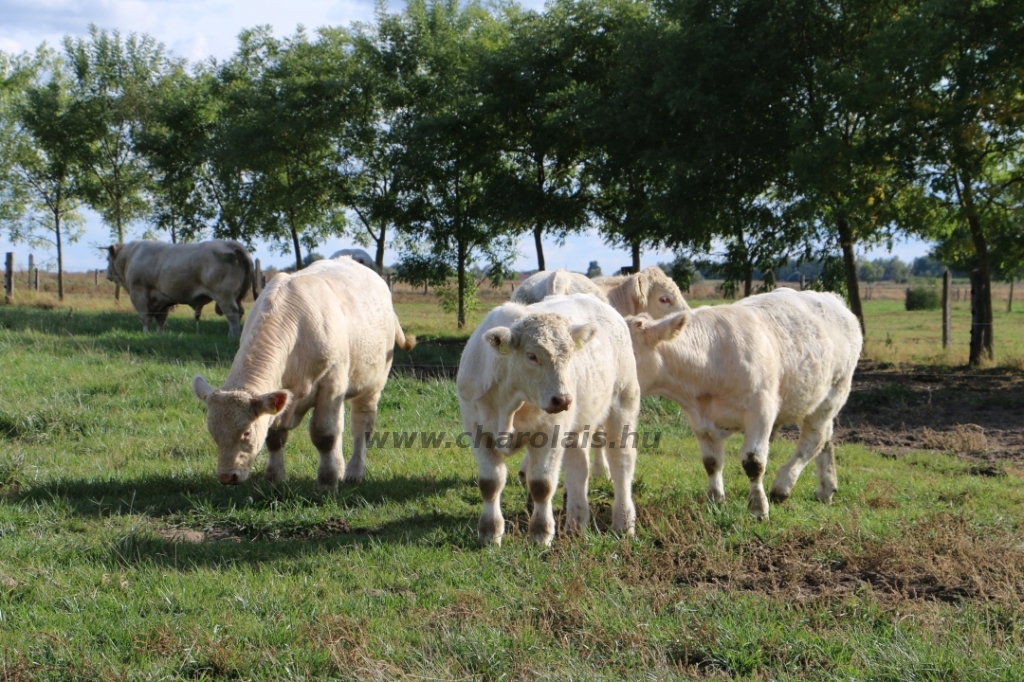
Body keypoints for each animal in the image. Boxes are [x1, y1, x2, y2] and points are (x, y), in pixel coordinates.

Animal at [107, 237, 254, 335]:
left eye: (108, 258)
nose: (107, 274)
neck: (130, 257)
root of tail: (228, 243)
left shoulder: (138, 292)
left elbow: (145, 316)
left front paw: (146, 333)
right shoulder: (162, 298)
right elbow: (161, 318)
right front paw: (159, 335)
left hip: (224, 295)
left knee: (232, 313)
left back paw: (233, 336)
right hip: (238, 296)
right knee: (240, 312)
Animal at [192, 254, 415, 483]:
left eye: (246, 432)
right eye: (213, 431)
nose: (227, 476)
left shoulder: (331, 383)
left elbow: (324, 434)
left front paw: (328, 479)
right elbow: (275, 436)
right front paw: (275, 477)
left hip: (372, 384)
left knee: (361, 426)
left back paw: (354, 471)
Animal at [458, 292, 638, 548]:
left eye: (570, 355)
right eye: (531, 356)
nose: (563, 399)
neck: (509, 403)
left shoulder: (550, 432)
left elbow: (541, 485)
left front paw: (540, 535)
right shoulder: (477, 430)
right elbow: (490, 483)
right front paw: (489, 533)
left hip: (624, 402)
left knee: (621, 464)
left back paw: (623, 523)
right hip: (579, 423)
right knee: (578, 468)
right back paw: (576, 523)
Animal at [626, 284, 860, 516]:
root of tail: (832, 298)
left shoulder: (762, 412)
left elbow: (753, 462)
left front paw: (758, 508)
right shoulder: (698, 419)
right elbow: (711, 462)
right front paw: (715, 501)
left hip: (832, 394)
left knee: (813, 440)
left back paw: (782, 486)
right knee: (826, 439)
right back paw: (826, 488)